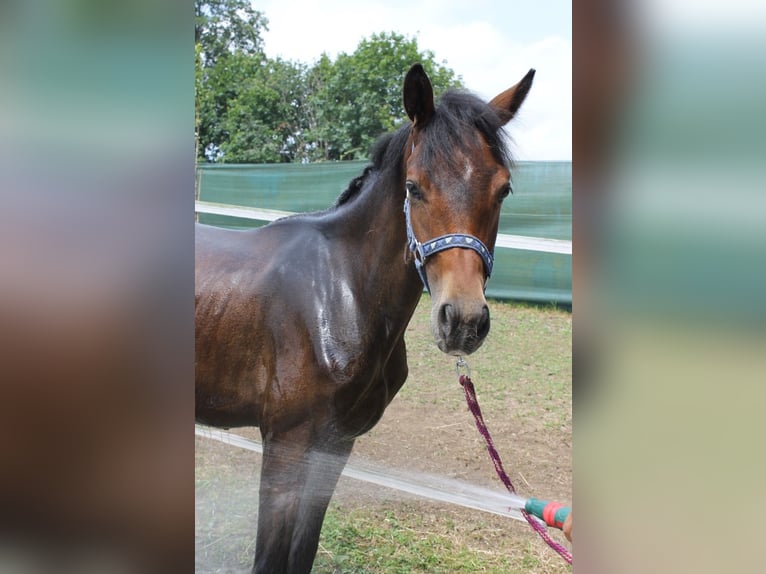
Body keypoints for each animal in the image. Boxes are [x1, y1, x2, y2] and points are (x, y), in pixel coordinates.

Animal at [195, 64, 536, 574]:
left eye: (503, 189)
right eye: (413, 187)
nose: (463, 321)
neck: (340, 291)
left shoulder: (335, 444)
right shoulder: (286, 444)